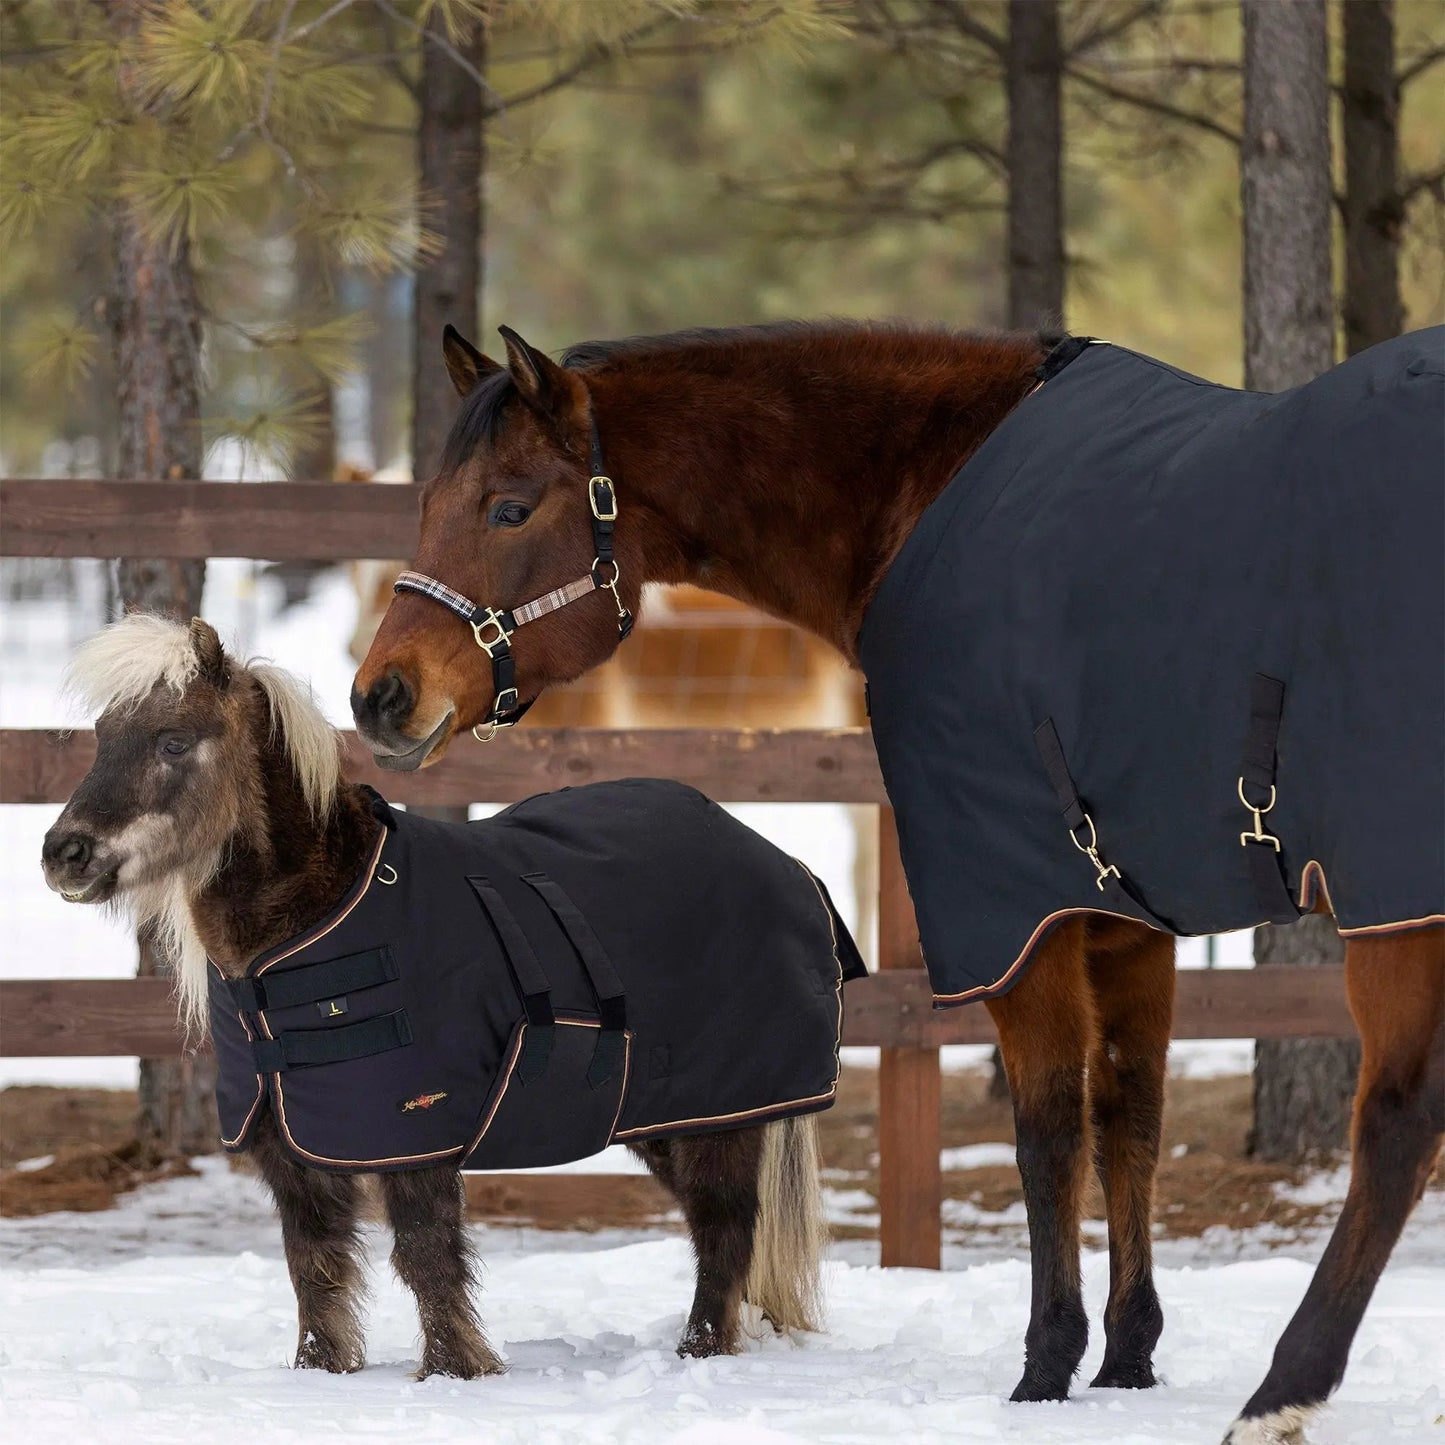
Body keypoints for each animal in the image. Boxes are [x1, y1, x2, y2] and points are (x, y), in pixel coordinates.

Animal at [41, 613, 833, 1378]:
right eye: (103, 737)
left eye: (173, 740)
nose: (64, 854)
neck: (312, 926)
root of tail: (776, 858)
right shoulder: (287, 1147)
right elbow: (314, 1263)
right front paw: (318, 1372)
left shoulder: (416, 1139)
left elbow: (424, 1256)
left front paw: (455, 1370)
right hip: (668, 1114)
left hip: (722, 1114)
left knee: (723, 1226)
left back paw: (700, 1352)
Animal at [351, 319, 1443, 1444]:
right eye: (425, 504)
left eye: (510, 505)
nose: (380, 696)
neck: (934, 484)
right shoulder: (1121, 916)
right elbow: (1128, 1121)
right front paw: (1128, 1354)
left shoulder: (1019, 915)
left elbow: (1047, 1130)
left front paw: (1045, 1362)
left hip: (1394, 912)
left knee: (1394, 1129)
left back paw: (1282, 1390)